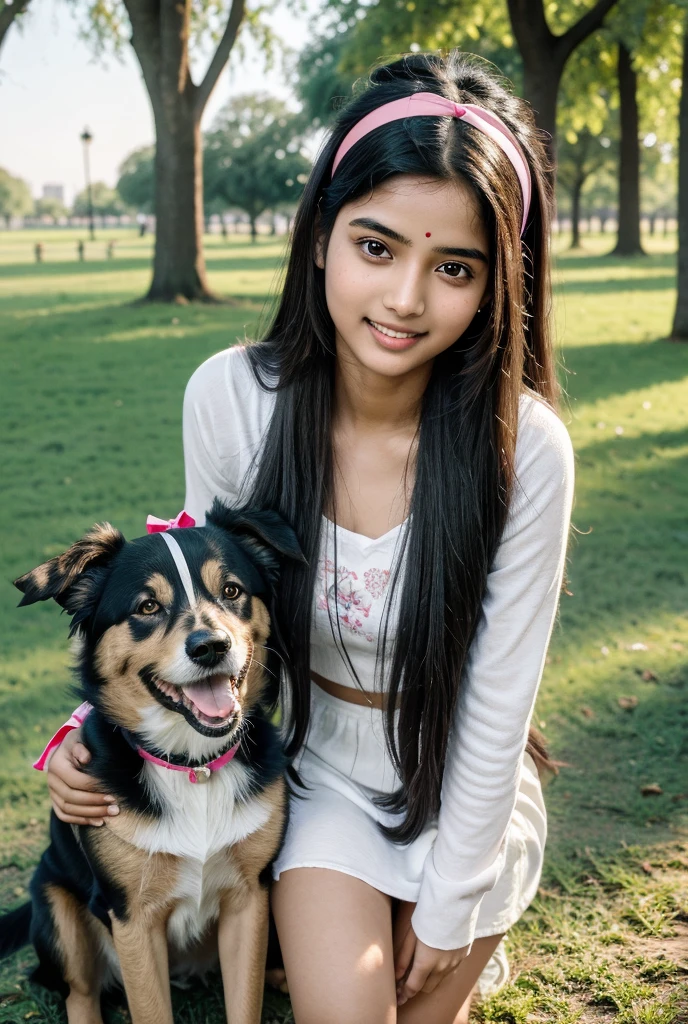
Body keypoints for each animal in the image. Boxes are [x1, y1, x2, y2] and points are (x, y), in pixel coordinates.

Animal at [0, 503, 301, 1024]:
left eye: (231, 590)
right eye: (147, 607)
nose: (210, 646)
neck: (193, 766)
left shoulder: (250, 900)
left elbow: (246, 1002)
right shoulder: (133, 921)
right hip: (56, 906)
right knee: (80, 994)